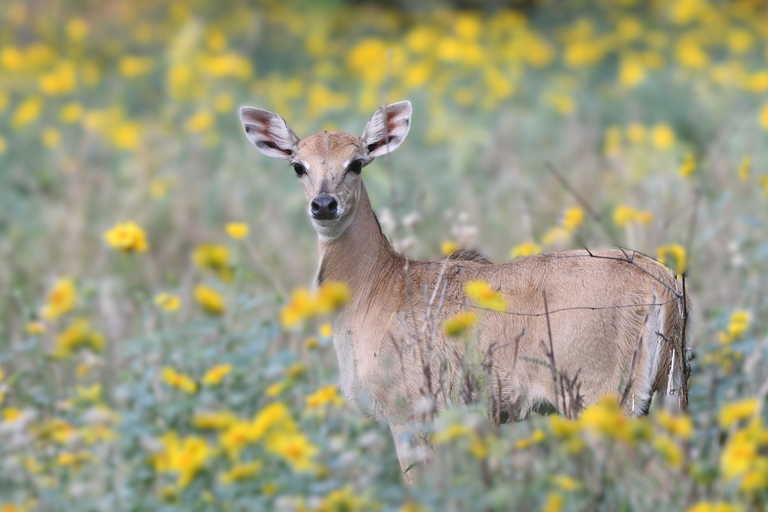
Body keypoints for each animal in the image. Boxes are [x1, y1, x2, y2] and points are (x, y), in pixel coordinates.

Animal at [238, 102, 688, 482]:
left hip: (600, 392)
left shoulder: (409, 408)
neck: (376, 293)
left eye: (357, 163)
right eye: (298, 166)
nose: (324, 204)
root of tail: (661, 282)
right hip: (664, 390)